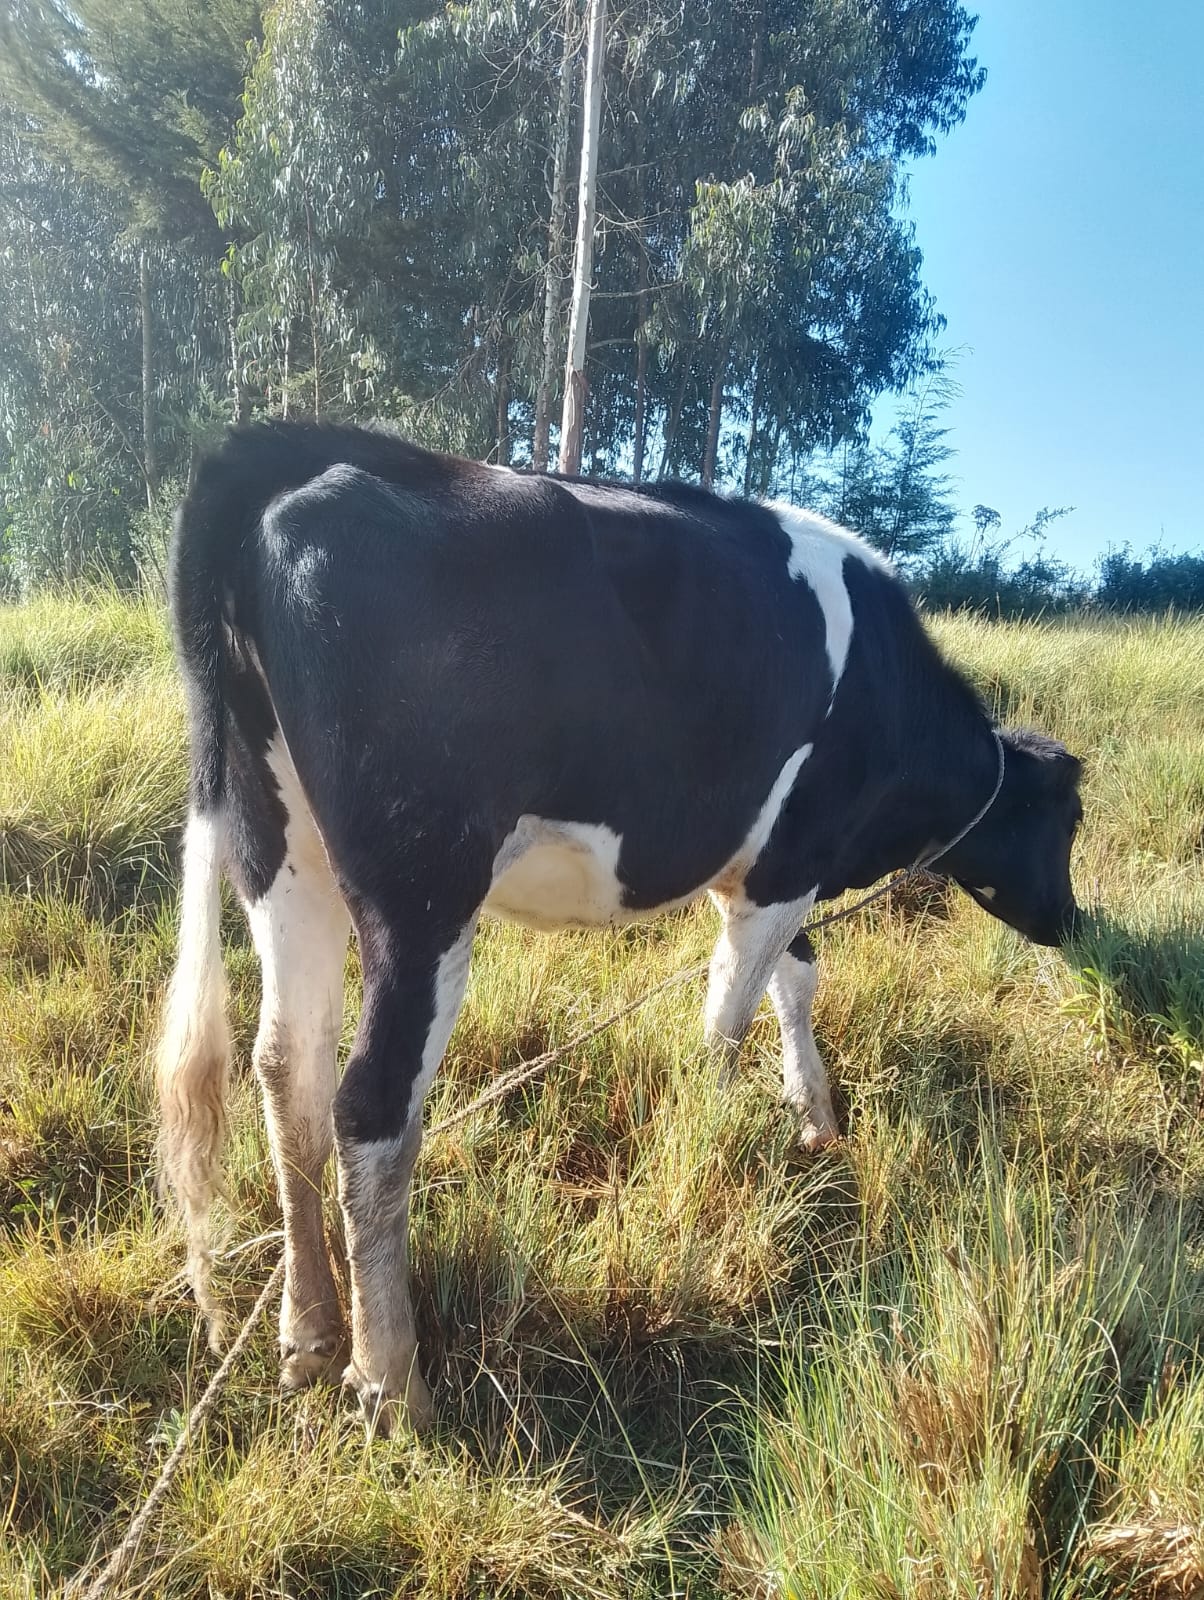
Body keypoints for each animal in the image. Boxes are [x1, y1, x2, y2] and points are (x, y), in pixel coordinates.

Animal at [157, 421, 1082, 1434]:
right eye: (1071, 820)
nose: (1070, 923)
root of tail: (298, 457)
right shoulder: (789, 861)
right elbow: (725, 1021)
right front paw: (707, 1156)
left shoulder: (766, 868)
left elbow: (794, 981)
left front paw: (816, 1118)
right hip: (420, 891)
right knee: (369, 1104)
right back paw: (392, 1380)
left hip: (282, 856)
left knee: (288, 1070)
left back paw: (311, 1334)